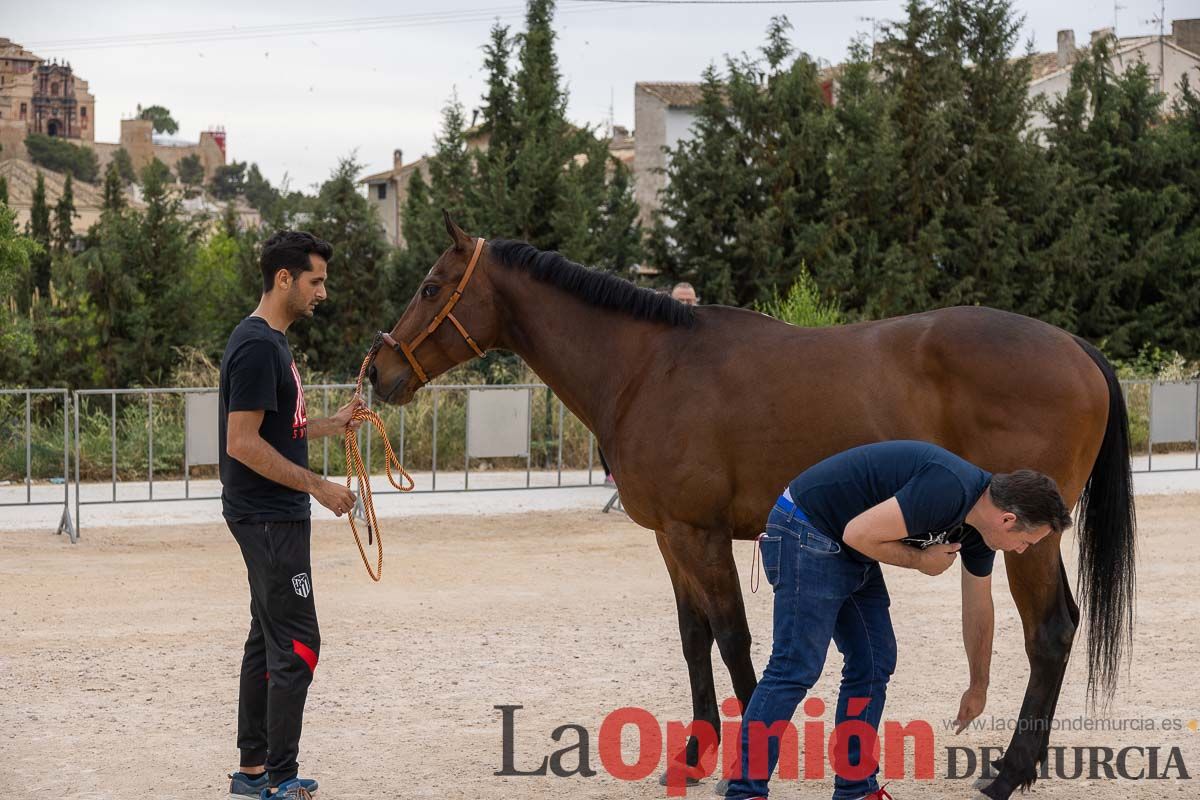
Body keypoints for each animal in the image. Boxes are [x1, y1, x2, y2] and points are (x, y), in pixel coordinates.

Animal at [369, 214, 1137, 800]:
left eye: (430, 287)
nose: (378, 372)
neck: (648, 367)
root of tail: (1074, 347)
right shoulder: (670, 537)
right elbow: (694, 637)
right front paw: (692, 756)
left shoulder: (701, 534)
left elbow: (735, 637)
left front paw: (751, 756)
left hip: (1026, 538)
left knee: (1049, 632)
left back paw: (1007, 775)